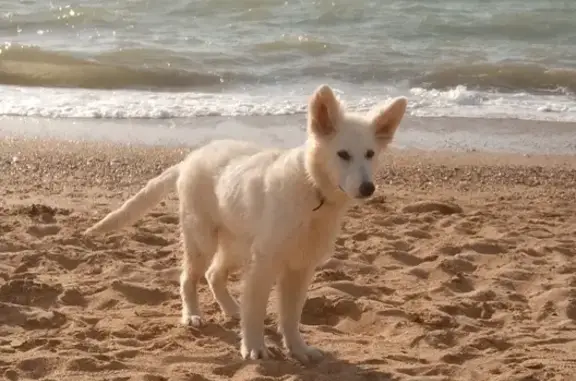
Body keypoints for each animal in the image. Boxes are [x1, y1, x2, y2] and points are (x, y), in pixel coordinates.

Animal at [84, 84, 410, 364]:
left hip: (237, 246)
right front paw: (253, 347)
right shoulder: (265, 263)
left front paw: (298, 349)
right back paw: (191, 315)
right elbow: (256, 310)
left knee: (214, 275)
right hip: (203, 241)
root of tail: (190, 159)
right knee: (189, 278)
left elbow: (291, 316)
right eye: (342, 154)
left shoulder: (300, 267)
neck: (312, 189)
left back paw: (231, 310)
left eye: (370, 154)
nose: (368, 188)